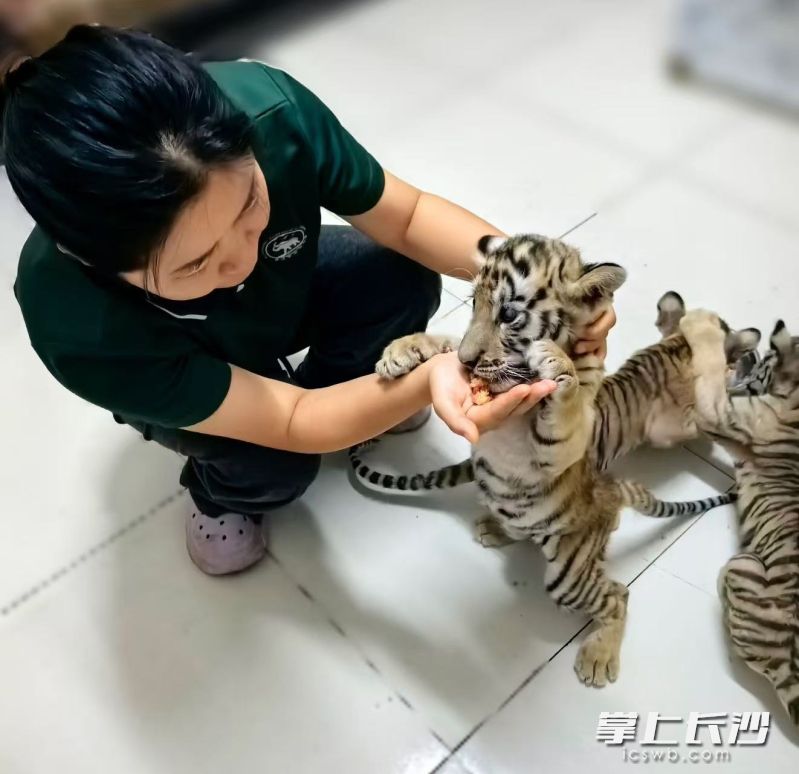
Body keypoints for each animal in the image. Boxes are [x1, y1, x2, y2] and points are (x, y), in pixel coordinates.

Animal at [349, 234, 758, 687]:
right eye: (474, 304)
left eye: (509, 315)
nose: (466, 363)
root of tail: (613, 492)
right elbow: (447, 340)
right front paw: (401, 352)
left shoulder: (565, 444)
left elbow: (568, 402)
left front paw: (556, 366)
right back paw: (494, 528)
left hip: (569, 574)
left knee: (617, 595)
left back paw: (598, 658)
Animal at [679, 309, 799, 726]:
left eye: (766, 363)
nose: (753, 357)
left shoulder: (724, 415)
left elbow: (711, 373)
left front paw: (698, 325)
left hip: (742, 563)